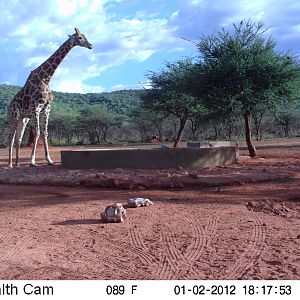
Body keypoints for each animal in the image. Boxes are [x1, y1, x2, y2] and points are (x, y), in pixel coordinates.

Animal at [5, 27, 92, 169]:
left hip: (23, 119)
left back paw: (17, 163)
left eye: (85, 36)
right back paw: (10, 164)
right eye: (80, 38)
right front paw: (32, 161)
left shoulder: (46, 108)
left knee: (18, 138)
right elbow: (37, 132)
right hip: (13, 117)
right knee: (10, 138)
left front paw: (49, 160)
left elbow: (45, 133)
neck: (46, 78)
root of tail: (8, 107)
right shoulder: (36, 107)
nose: (90, 45)